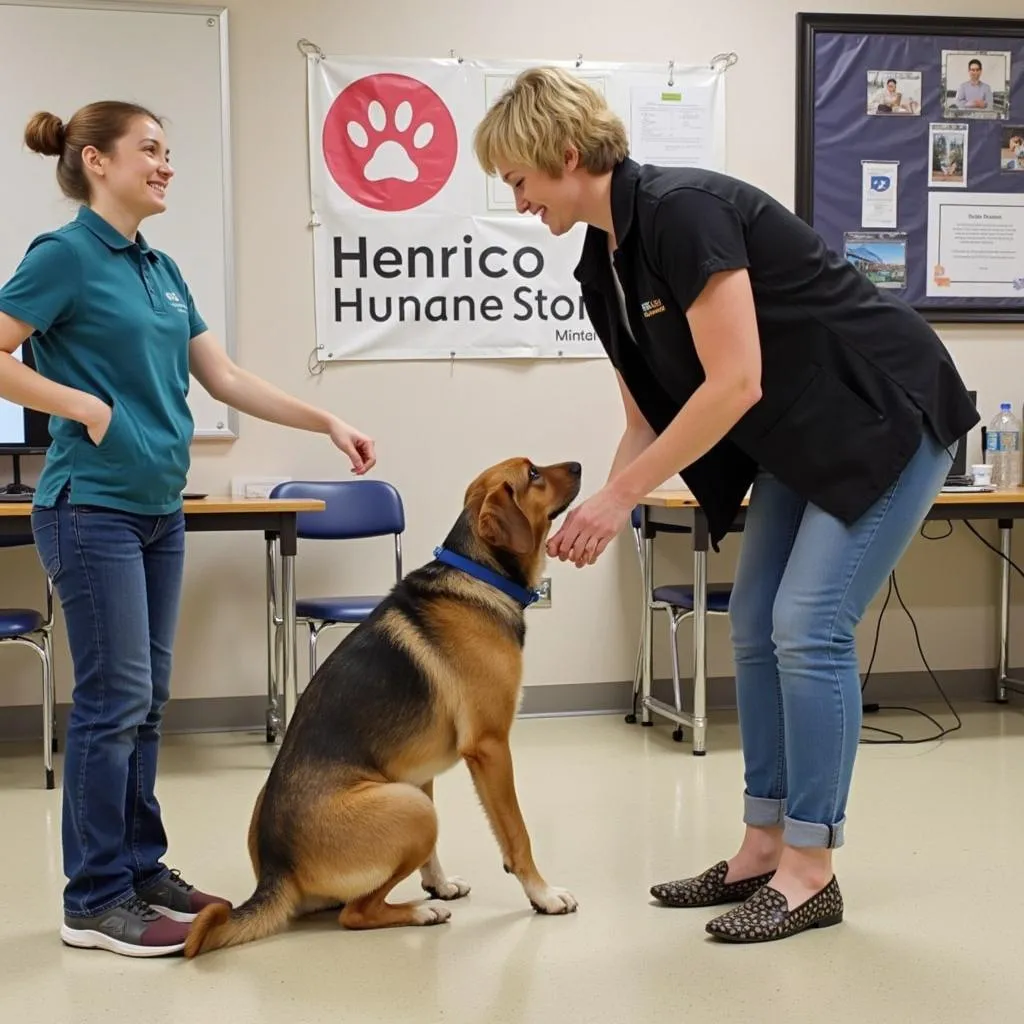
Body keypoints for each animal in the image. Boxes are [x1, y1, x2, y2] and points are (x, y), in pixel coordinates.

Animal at [186, 460, 585, 954]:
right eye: (533, 474)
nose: (579, 466)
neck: (478, 573)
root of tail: (278, 871)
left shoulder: (421, 770)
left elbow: (435, 857)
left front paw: (439, 884)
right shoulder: (490, 748)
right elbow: (517, 835)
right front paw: (543, 895)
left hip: (405, 797)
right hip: (413, 810)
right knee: (357, 913)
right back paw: (420, 912)